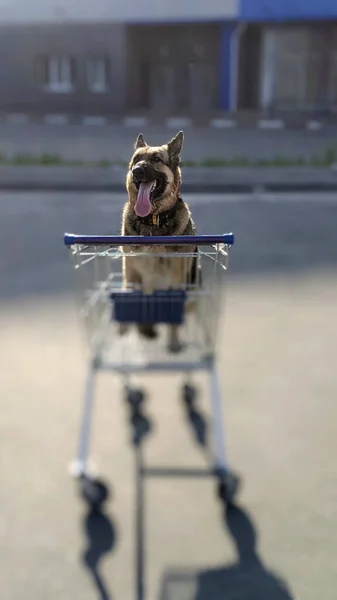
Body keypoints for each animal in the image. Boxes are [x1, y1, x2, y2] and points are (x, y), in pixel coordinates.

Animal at [121, 129, 200, 350]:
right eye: (136, 160)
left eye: (157, 159)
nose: (137, 171)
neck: (153, 219)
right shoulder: (131, 272)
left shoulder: (176, 276)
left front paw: (173, 342)